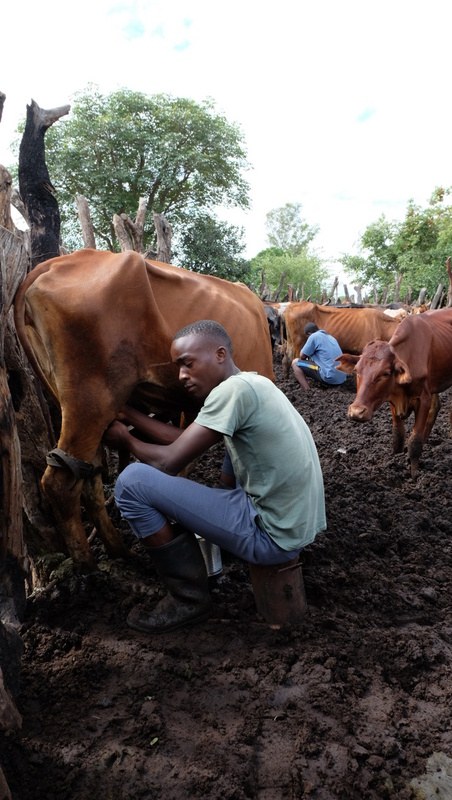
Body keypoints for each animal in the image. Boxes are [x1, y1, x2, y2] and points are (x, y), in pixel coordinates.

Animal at [14, 250, 274, 568]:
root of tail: (55, 262)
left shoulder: (192, 405)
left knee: (88, 476)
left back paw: (120, 552)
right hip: (90, 401)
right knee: (60, 483)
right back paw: (89, 568)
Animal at [336, 306, 452, 476]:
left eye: (385, 373)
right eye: (356, 370)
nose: (356, 412)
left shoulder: (423, 399)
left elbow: (414, 441)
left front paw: (414, 475)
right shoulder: (393, 398)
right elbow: (398, 435)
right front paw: (394, 460)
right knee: (435, 407)